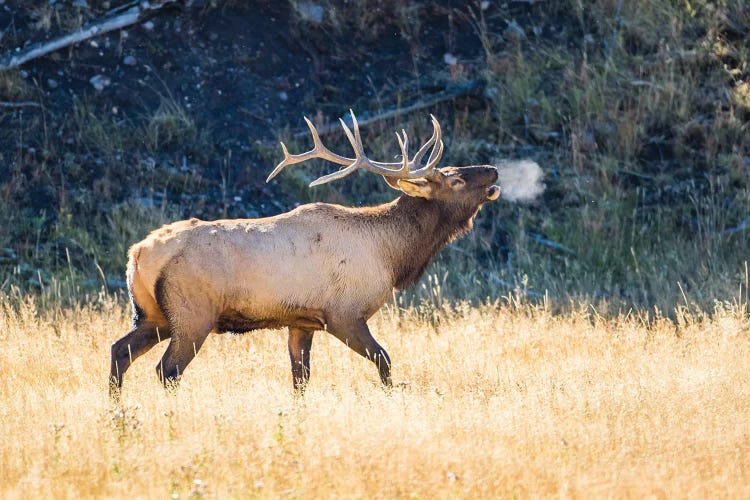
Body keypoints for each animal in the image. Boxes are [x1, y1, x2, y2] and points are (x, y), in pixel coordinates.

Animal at [108, 111, 502, 396]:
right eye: (455, 179)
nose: (494, 169)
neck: (391, 256)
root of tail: (137, 255)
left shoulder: (301, 320)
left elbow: (300, 379)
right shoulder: (343, 314)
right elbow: (385, 361)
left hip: (153, 315)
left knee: (118, 352)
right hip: (192, 315)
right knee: (167, 370)